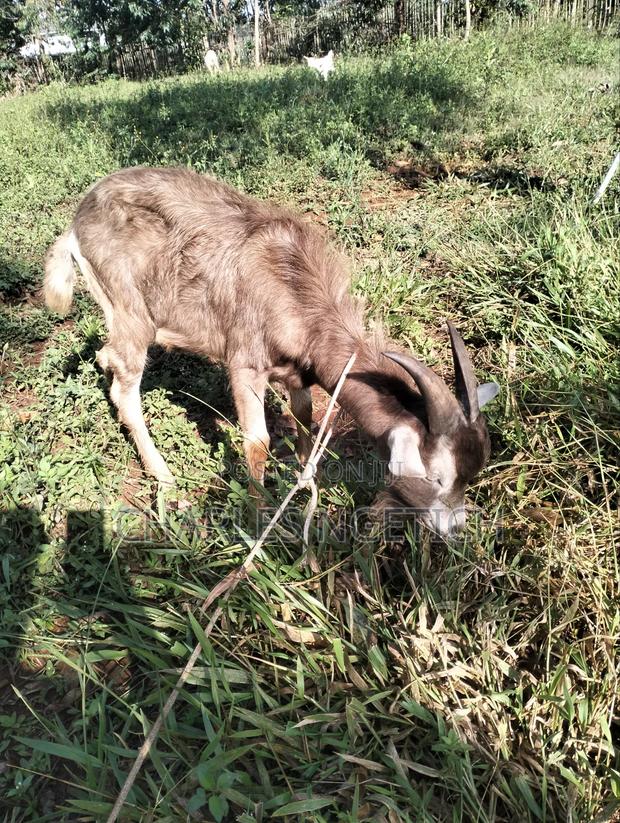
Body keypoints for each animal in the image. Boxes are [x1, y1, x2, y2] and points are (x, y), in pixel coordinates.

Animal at [44, 166, 499, 537]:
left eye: (470, 475)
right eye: (437, 477)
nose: (454, 527)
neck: (293, 284)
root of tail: (76, 224)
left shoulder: (298, 373)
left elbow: (305, 420)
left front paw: (305, 482)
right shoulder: (245, 363)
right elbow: (257, 441)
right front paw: (259, 517)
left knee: (108, 358)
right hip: (130, 309)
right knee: (126, 383)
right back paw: (164, 477)